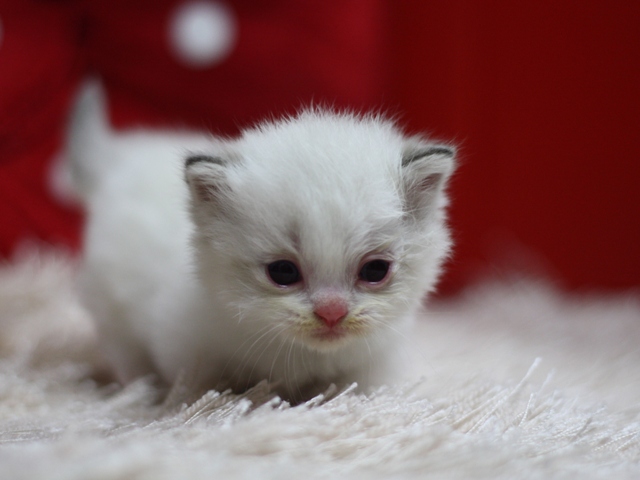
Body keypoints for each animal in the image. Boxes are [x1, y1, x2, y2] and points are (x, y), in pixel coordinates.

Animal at [70, 83, 456, 402]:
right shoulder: (187, 351)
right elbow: (200, 391)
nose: (332, 312)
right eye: (283, 272)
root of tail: (121, 159)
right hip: (113, 310)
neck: (303, 356)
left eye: (375, 270)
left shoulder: (370, 364)